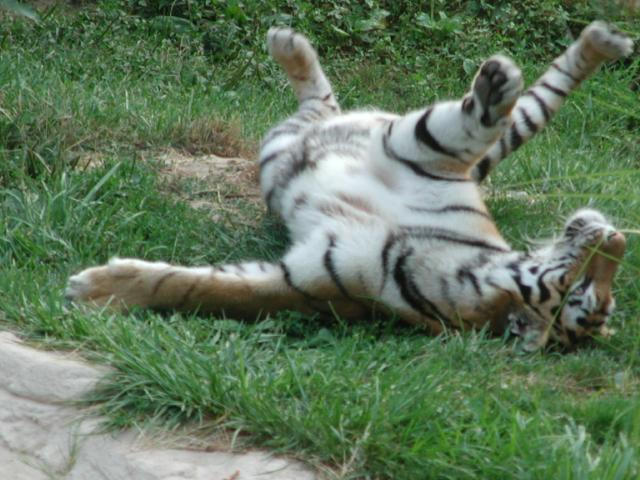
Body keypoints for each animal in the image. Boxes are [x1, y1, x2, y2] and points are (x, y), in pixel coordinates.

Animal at [66, 21, 633, 351]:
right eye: (586, 285)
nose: (616, 238)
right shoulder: (431, 153)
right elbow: (473, 125)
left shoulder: (302, 281)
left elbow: (205, 288)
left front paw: (90, 288)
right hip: (394, 139)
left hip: (308, 137)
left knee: (320, 104)